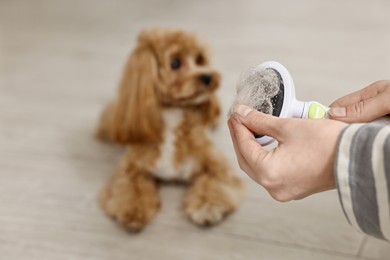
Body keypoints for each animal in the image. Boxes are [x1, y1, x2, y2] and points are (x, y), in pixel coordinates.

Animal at [96, 29, 244, 232]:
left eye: (199, 59)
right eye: (175, 63)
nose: (208, 77)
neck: (173, 119)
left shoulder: (216, 166)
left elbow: (213, 185)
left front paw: (207, 208)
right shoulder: (130, 169)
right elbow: (130, 188)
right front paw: (133, 210)